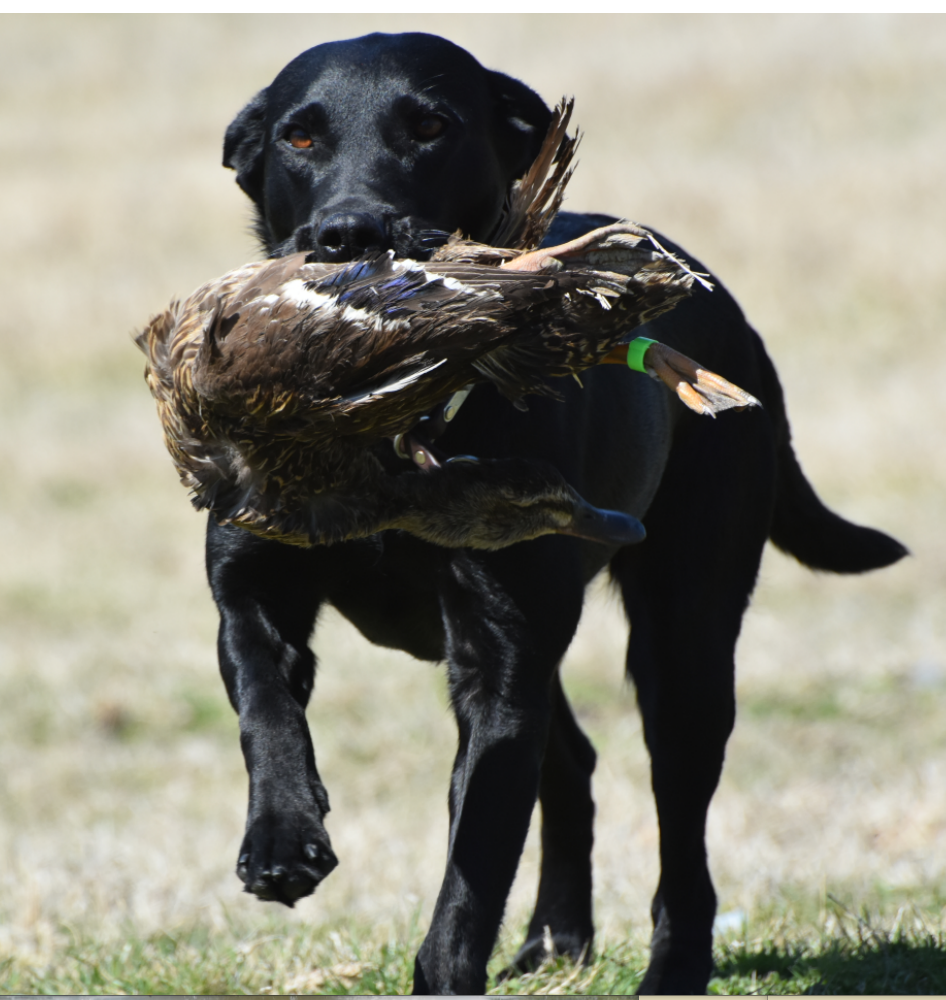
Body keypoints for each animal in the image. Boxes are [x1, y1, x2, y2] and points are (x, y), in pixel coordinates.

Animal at [210, 31, 904, 992]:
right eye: (299, 137)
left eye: (432, 127)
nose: (350, 234)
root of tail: (730, 310)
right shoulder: (254, 588)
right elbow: (265, 702)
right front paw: (282, 838)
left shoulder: (500, 659)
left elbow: (470, 873)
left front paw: (445, 969)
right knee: (571, 758)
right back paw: (555, 937)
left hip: (685, 644)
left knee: (680, 830)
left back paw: (670, 971)